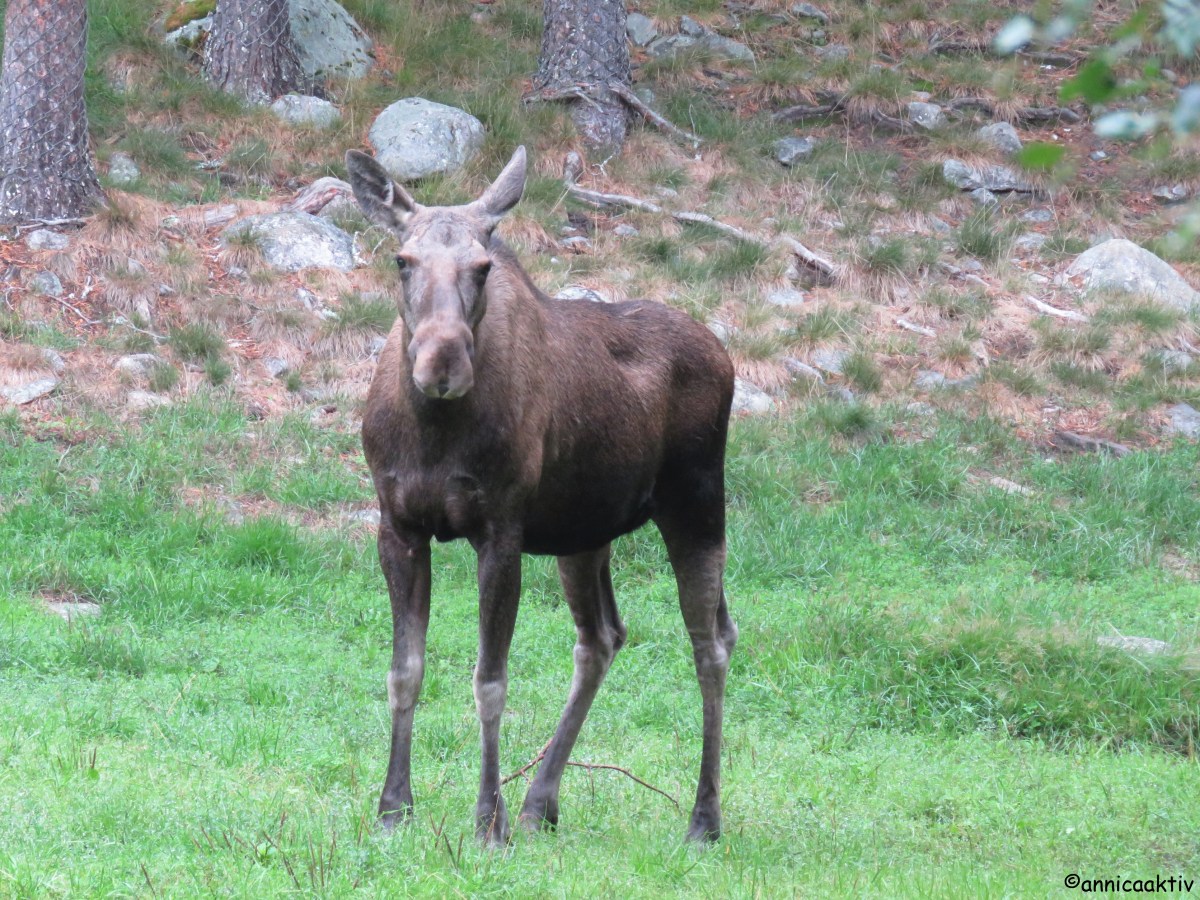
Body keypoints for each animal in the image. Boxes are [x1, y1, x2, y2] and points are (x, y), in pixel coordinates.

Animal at [345, 145, 737, 845]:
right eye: (402, 259)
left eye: (483, 266)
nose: (441, 364)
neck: (434, 432)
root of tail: (726, 357)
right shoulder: (399, 525)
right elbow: (404, 670)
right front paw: (393, 809)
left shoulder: (500, 531)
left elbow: (490, 680)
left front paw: (486, 821)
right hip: (584, 532)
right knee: (604, 636)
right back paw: (539, 802)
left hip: (696, 499)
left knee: (711, 642)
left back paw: (702, 818)